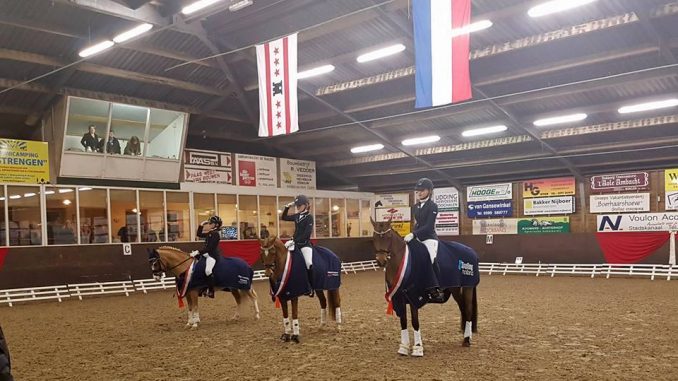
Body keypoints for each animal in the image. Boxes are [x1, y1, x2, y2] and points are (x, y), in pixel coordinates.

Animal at [372, 217, 478, 356]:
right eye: (374, 237)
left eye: (388, 236)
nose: (381, 261)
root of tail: (470, 250)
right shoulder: (398, 297)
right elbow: (403, 321)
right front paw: (403, 348)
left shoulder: (413, 296)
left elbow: (415, 322)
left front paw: (418, 348)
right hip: (455, 288)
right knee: (463, 309)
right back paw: (466, 337)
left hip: (468, 287)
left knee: (468, 310)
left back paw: (467, 340)